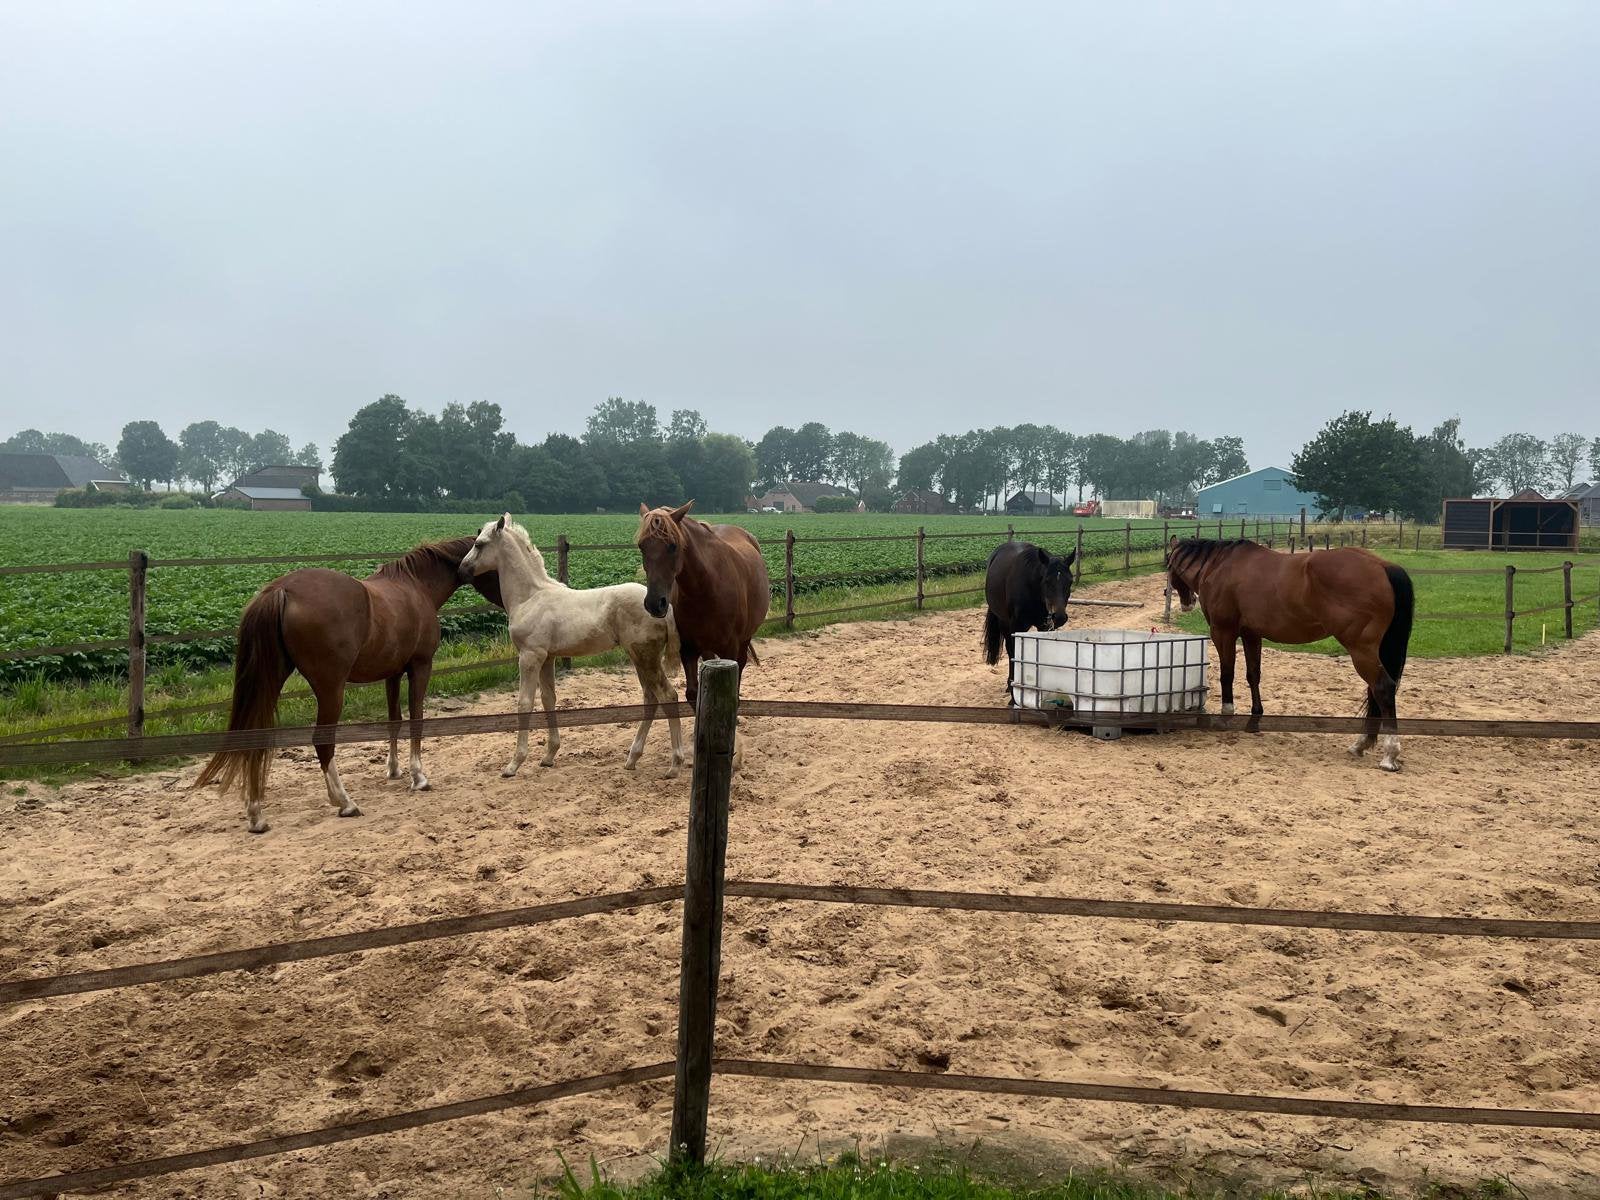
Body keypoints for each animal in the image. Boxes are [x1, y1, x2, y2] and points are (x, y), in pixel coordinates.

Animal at [194, 538, 504, 833]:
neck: (417, 587)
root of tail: (281, 590)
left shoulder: (392, 673)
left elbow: (394, 720)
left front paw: (394, 770)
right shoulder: (420, 667)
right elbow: (416, 718)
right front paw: (419, 777)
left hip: (271, 681)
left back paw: (256, 816)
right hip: (331, 690)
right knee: (322, 742)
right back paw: (345, 802)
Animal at [457, 514, 684, 778]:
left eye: (479, 544)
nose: (461, 569)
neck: (530, 597)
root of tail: (664, 608)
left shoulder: (529, 656)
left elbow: (524, 703)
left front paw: (514, 764)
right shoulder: (547, 657)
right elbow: (548, 698)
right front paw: (548, 756)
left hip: (645, 655)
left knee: (668, 695)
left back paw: (674, 764)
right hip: (638, 656)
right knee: (651, 698)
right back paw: (632, 758)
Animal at [635, 500, 769, 714]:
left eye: (673, 546)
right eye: (641, 546)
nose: (655, 604)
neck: (706, 588)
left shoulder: (729, 648)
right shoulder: (688, 649)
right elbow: (692, 693)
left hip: (744, 638)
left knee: (741, 664)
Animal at [983, 540, 1077, 704]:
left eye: (1070, 581)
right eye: (1046, 580)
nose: (1059, 617)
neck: (1033, 590)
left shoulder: (1045, 626)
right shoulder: (1016, 626)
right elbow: (1015, 653)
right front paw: (1014, 697)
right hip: (1004, 622)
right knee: (1010, 651)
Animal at [1165, 537, 1414, 771]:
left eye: (1168, 566)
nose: (1187, 602)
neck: (1220, 565)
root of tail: (1382, 565)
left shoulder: (1223, 632)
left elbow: (1227, 673)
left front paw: (1226, 716)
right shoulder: (1251, 634)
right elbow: (1253, 675)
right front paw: (1254, 720)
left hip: (1360, 649)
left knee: (1382, 688)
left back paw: (1389, 754)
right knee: (1375, 691)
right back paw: (1361, 744)